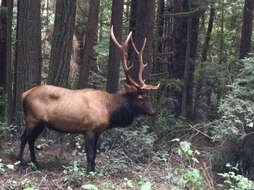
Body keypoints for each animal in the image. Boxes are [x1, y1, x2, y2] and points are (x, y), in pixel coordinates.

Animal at [18, 26, 160, 173]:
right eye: (140, 97)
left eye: (147, 96)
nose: (154, 111)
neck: (109, 111)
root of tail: (24, 94)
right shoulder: (89, 129)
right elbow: (90, 154)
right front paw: (88, 172)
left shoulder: (98, 131)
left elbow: (95, 154)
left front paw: (94, 170)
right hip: (32, 118)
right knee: (23, 138)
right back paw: (21, 163)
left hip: (41, 122)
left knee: (31, 139)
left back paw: (35, 162)